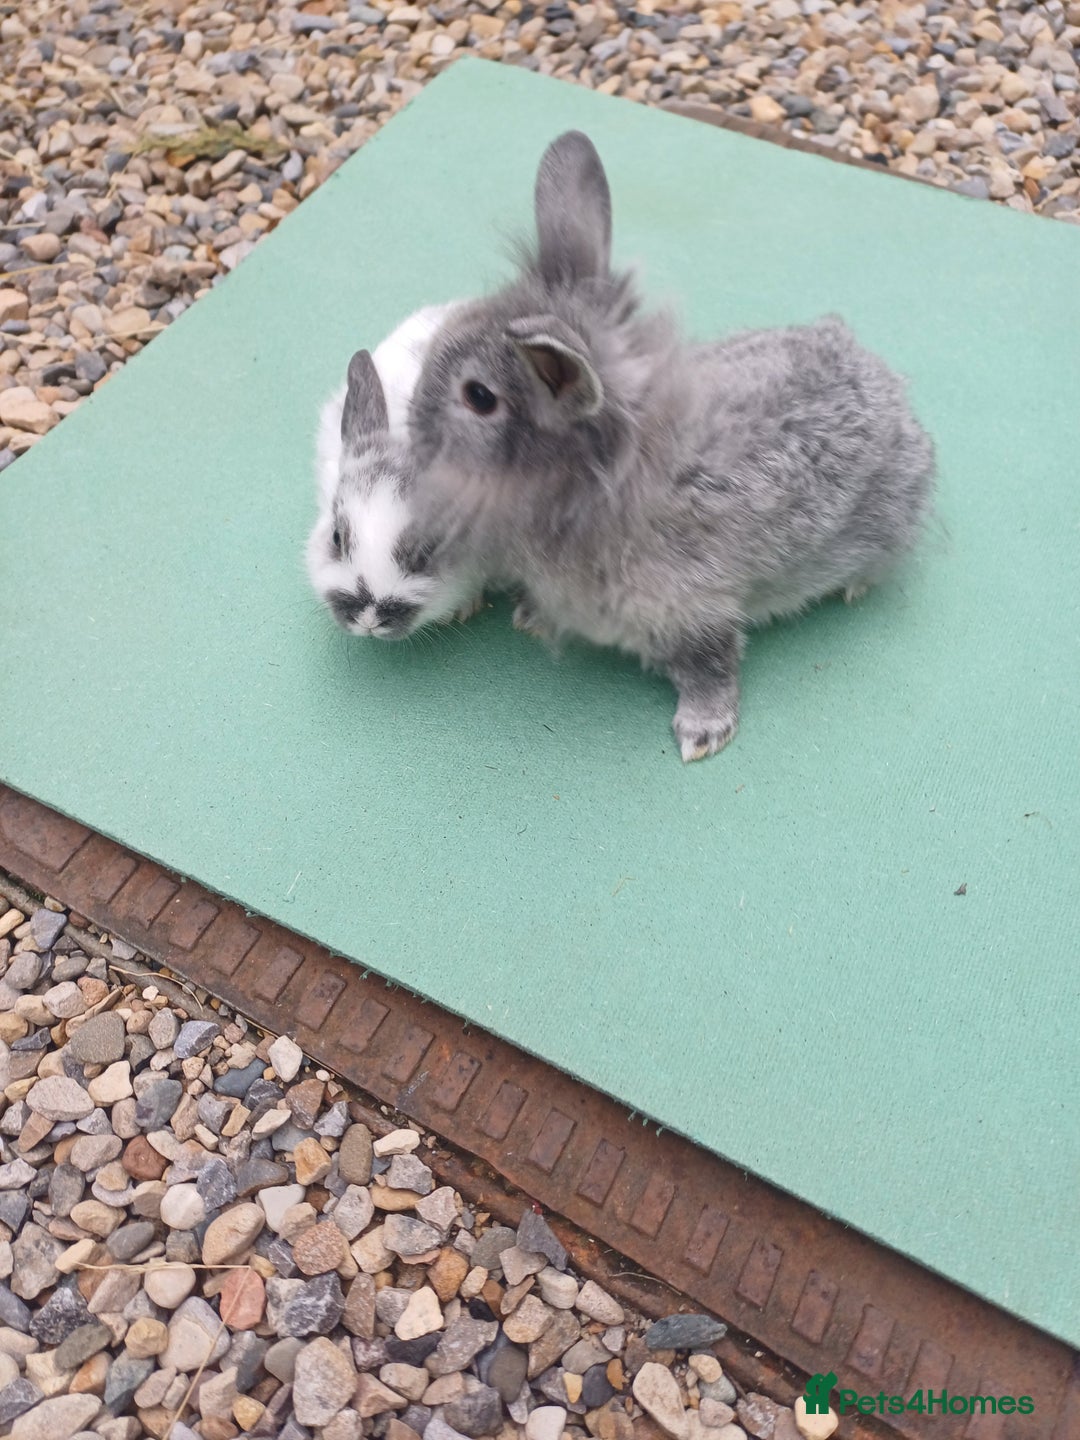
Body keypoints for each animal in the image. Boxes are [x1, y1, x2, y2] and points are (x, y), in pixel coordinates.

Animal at [408, 131, 935, 760]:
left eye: (479, 397)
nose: (411, 430)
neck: (601, 478)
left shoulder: (695, 610)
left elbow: (712, 666)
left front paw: (702, 733)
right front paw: (531, 615)